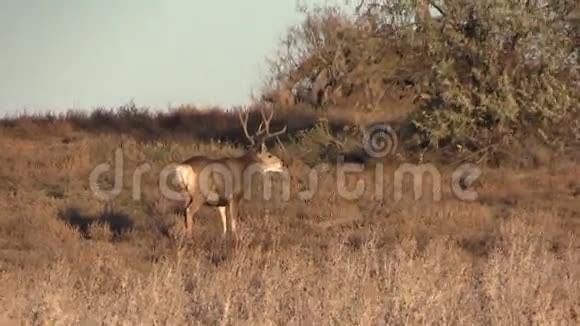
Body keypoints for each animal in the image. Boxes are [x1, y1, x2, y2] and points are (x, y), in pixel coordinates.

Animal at [173, 106, 288, 237]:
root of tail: (183, 166)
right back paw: (190, 237)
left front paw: (223, 237)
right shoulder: (235, 196)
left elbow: (224, 223)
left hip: (185, 193)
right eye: (269, 155)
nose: (282, 163)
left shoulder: (221, 202)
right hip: (200, 193)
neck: (244, 168)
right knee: (189, 211)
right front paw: (235, 238)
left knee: (184, 211)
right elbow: (233, 223)